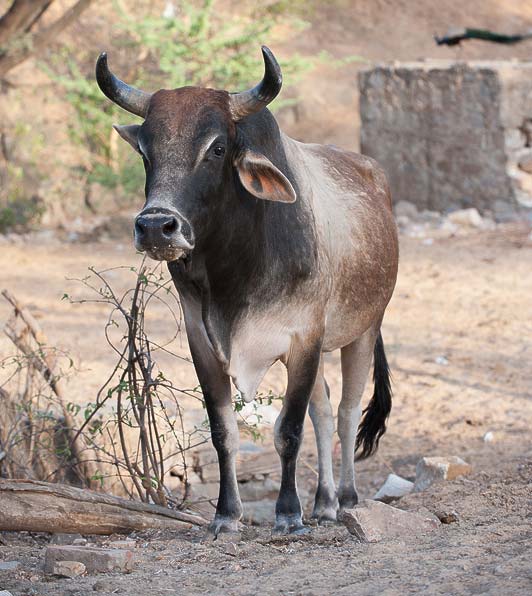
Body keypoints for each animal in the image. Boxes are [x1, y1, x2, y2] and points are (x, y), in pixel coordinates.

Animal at [96, 46, 399, 535]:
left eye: (217, 148)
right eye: (144, 149)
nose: (157, 226)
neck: (236, 271)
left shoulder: (303, 337)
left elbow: (288, 429)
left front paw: (288, 512)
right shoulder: (203, 340)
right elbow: (224, 431)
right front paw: (226, 514)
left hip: (365, 328)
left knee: (348, 411)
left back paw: (348, 498)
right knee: (324, 411)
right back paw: (325, 503)